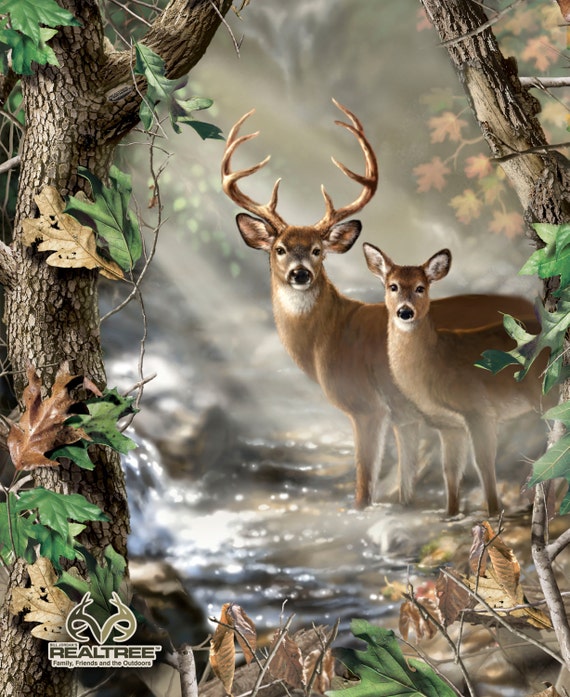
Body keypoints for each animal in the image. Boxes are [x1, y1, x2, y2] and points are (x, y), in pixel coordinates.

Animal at [363, 243, 545, 516]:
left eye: (421, 287)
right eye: (392, 286)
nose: (405, 312)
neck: (435, 363)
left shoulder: (478, 409)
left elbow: (483, 464)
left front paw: (493, 512)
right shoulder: (449, 425)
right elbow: (450, 470)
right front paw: (450, 513)